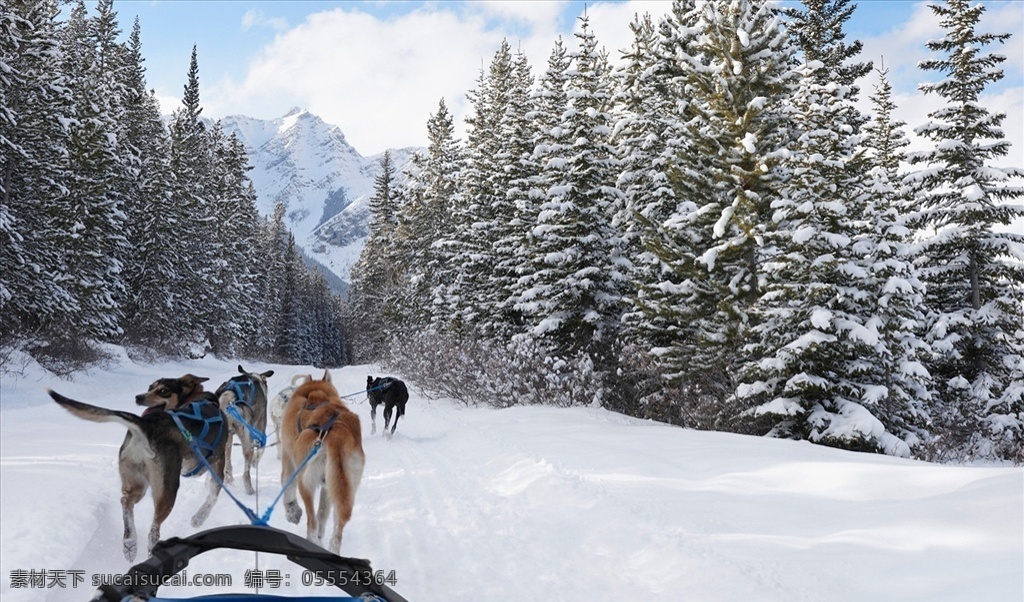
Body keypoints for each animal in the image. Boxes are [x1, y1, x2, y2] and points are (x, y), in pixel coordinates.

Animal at [47, 374, 226, 561]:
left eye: (163, 390)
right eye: (150, 387)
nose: (139, 397)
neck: (198, 398)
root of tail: (147, 424)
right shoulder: (218, 463)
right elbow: (213, 495)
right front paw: (199, 519)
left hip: (136, 482)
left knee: (125, 501)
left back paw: (130, 543)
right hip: (167, 490)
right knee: (153, 529)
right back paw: (152, 549)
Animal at [215, 362, 274, 493]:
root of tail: (228, 397)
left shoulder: (229, 438)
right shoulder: (260, 428)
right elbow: (261, 449)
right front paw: (255, 462)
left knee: (224, 465)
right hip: (247, 438)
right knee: (246, 471)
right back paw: (249, 488)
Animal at [282, 368, 366, 552]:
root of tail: (335, 434)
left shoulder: (288, 460)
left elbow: (287, 487)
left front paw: (292, 512)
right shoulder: (327, 487)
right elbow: (323, 514)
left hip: (305, 483)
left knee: (312, 523)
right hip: (343, 488)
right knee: (335, 529)